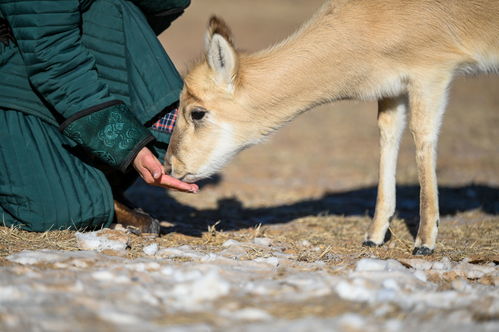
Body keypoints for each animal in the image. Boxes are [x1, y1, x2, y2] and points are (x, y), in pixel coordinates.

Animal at [168, 0, 499, 255]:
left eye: (197, 112)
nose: (171, 165)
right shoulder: (392, 90)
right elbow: (388, 137)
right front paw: (374, 236)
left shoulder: (430, 76)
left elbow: (422, 137)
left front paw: (425, 241)